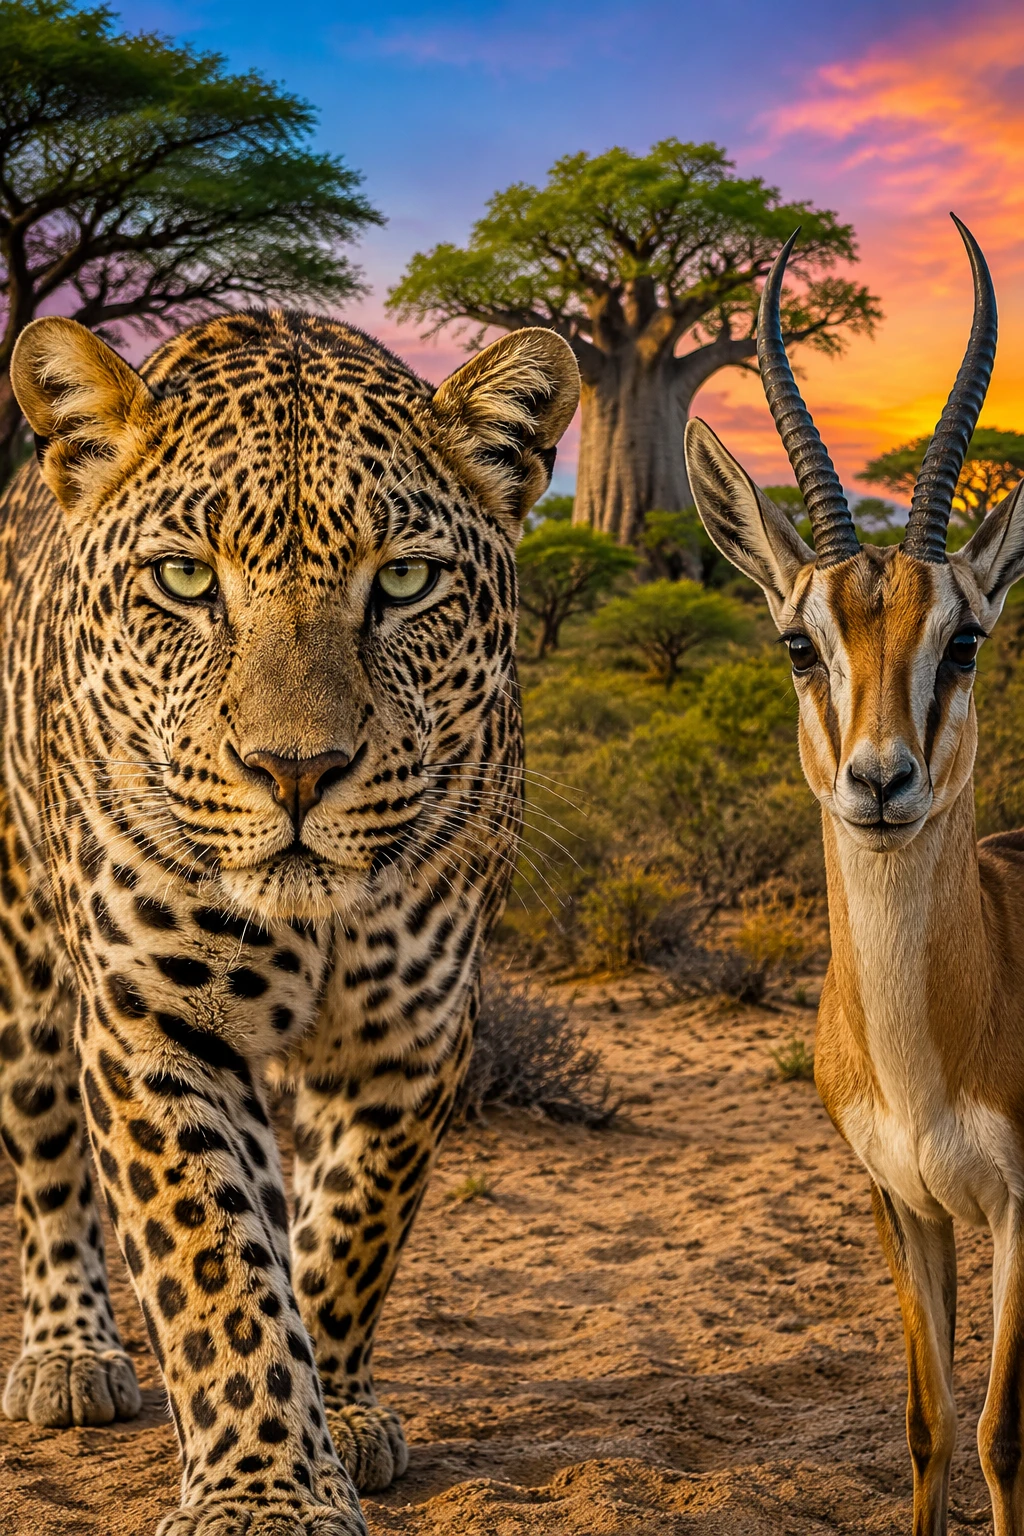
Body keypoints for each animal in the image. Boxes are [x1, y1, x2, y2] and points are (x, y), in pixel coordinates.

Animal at [0, 307, 579, 1534]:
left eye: (404, 581)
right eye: (183, 578)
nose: (296, 770)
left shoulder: (416, 1036)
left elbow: (349, 1231)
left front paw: (334, 1413)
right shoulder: (153, 1024)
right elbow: (214, 1267)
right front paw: (263, 1491)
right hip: (26, 952)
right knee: (45, 1144)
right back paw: (70, 1352)